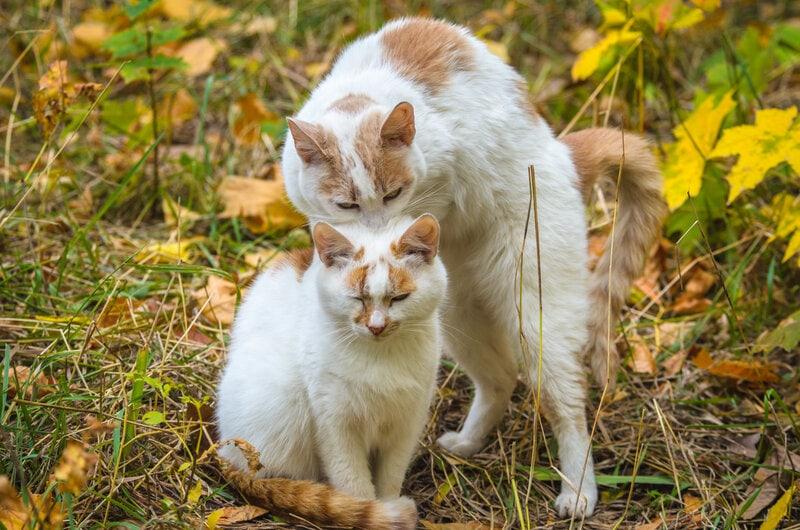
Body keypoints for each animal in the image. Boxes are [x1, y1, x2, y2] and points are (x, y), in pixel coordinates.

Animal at [216, 212, 446, 524]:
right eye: (356, 298)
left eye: (399, 298)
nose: (377, 326)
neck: (379, 357)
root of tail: (223, 451)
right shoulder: (335, 425)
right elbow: (352, 482)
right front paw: (368, 511)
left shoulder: (406, 423)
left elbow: (391, 475)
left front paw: (386, 503)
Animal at [282, 17, 668, 516]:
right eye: (346, 204)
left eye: (393, 194)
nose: (378, 231)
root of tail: (565, 156)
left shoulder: (448, 171)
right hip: (458, 317)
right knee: (500, 379)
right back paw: (467, 443)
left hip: (536, 316)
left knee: (567, 405)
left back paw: (579, 492)